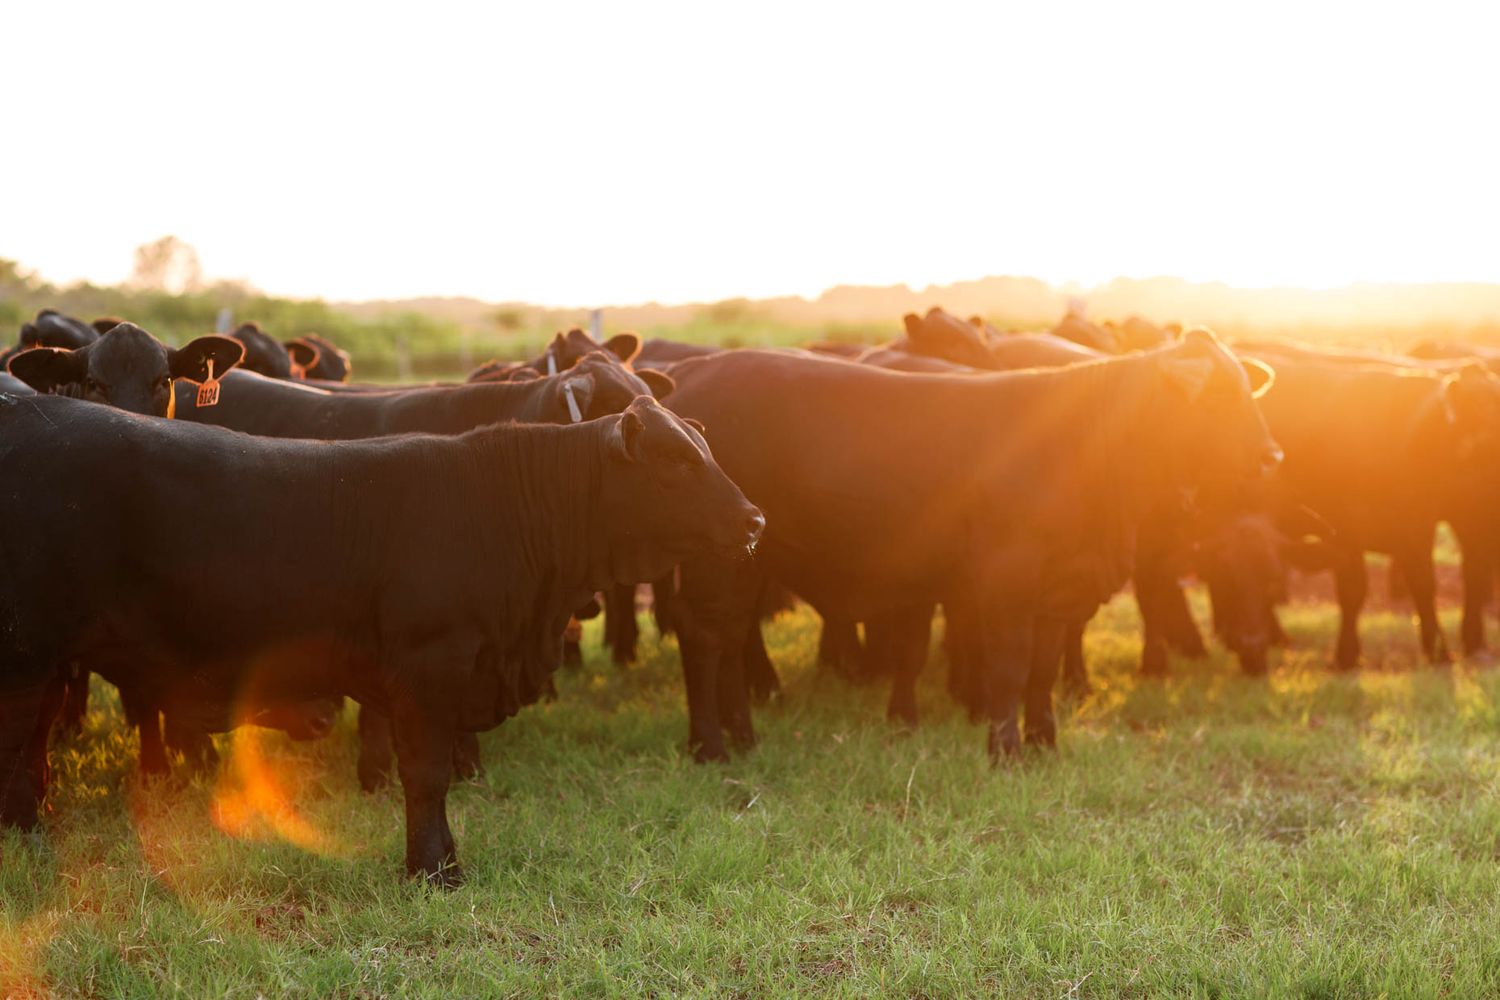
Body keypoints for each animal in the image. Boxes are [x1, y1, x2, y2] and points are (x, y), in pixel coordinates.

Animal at [0, 392, 762, 884]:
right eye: (675, 461)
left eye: (704, 449)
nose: (754, 518)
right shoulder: (429, 669)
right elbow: (425, 774)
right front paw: (433, 869)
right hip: (28, 652)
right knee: (17, 741)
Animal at [659, 329, 1279, 762]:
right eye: (1216, 396)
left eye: (1249, 391)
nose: (1271, 456)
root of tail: (693, 370)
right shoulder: (1007, 579)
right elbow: (1008, 667)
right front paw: (1004, 749)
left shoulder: (1058, 589)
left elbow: (1043, 670)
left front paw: (1044, 742)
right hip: (716, 558)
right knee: (706, 638)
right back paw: (709, 745)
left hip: (745, 560)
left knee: (731, 637)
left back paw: (741, 735)